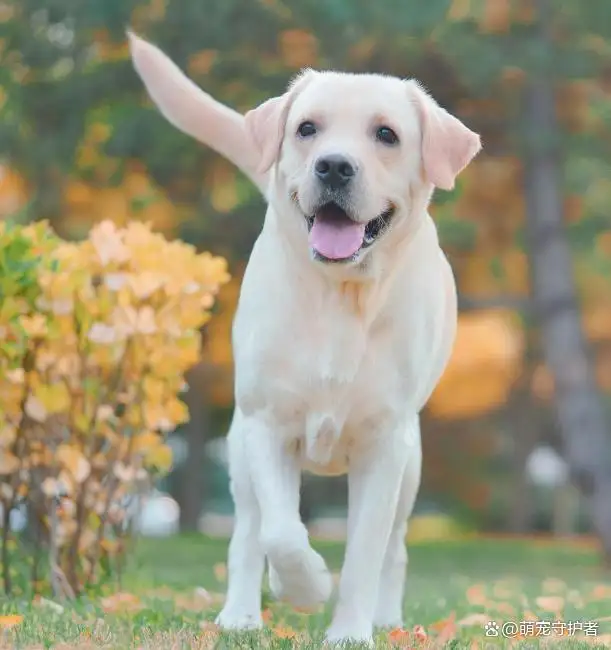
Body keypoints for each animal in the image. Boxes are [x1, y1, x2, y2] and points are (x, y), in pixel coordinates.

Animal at [130, 33, 482, 640]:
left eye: (386, 134)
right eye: (307, 128)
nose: (334, 166)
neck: (340, 297)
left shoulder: (384, 445)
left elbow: (364, 550)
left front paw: (350, 632)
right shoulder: (267, 425)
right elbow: (280, 532)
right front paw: (304, 586)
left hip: (411, 467)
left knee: (394, 549)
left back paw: (387, 619)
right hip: (239, 451)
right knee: (248, 533)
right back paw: (240, 615)